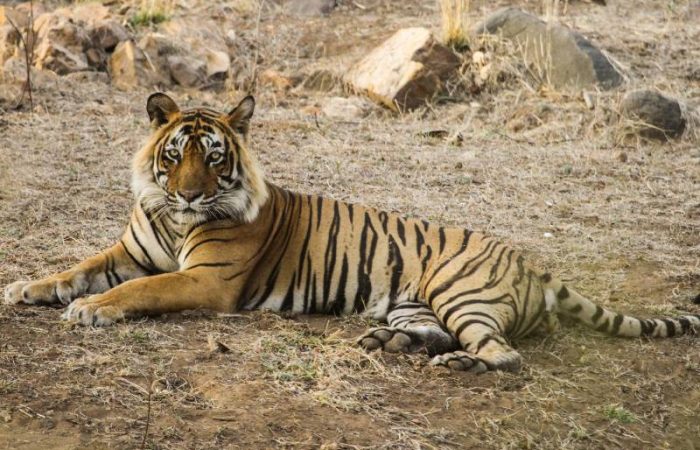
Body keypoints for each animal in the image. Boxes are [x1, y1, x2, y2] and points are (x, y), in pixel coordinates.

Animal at [4, 93, 699, 373]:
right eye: (175, 156)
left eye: (215, 158)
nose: (192, 193)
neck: (173, 217)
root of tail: (534, 264)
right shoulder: (128, 251)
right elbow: (75, 269)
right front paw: (24, 288)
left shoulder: (205, 280)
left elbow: (135, 291)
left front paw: (92, 310)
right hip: (417, 302)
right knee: (432, 333)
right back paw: (386, 345)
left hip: (462, 291)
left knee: (504, 353)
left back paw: (460, 365)